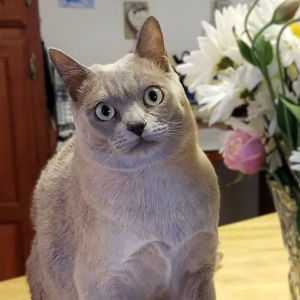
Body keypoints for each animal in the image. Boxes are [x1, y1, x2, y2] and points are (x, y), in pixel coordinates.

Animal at [27, 17, 220, 300]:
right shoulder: (105, 286)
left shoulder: (199, 273)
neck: (155, 186)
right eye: (104, 111)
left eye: (153, 96)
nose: (137, 126)